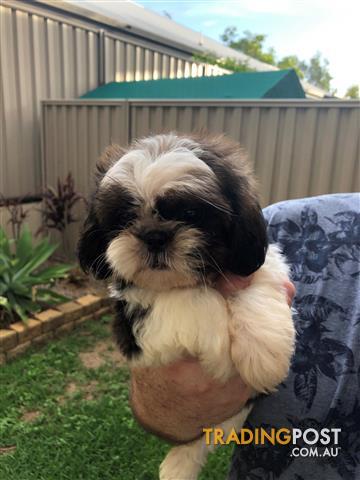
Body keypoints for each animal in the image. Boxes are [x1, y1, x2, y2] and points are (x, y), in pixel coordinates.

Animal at [78, 133, 296, 480]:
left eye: (191, 214)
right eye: (125, 218)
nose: (154, 235)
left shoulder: (260, 264)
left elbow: (258, 283)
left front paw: (264, 354)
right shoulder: (134, 330)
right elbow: (194, 300)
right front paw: (221, 352)